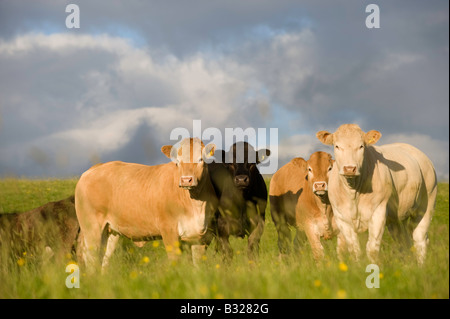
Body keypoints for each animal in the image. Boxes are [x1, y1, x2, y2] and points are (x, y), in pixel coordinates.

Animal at [74, 138, 218, 272]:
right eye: (177, 162)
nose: (186, 180)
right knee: (91, 260)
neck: (196, 205)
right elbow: (175, 261)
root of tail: (95, 168)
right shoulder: (169, 231)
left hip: (110, 232)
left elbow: (197, 266)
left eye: (201, 159)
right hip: (92, 228)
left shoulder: (200, 237)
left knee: (104, 260)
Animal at [316, 124, 436, 264]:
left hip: (426, 205)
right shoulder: (341, 217)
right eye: (337, 146)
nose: (350, 169)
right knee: (403, 241)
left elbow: (372, 248)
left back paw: (421, 266)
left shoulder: (378, 211)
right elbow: (354, 249)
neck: (353, 192)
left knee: (420, 239)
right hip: (397, 217)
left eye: (361, 146)